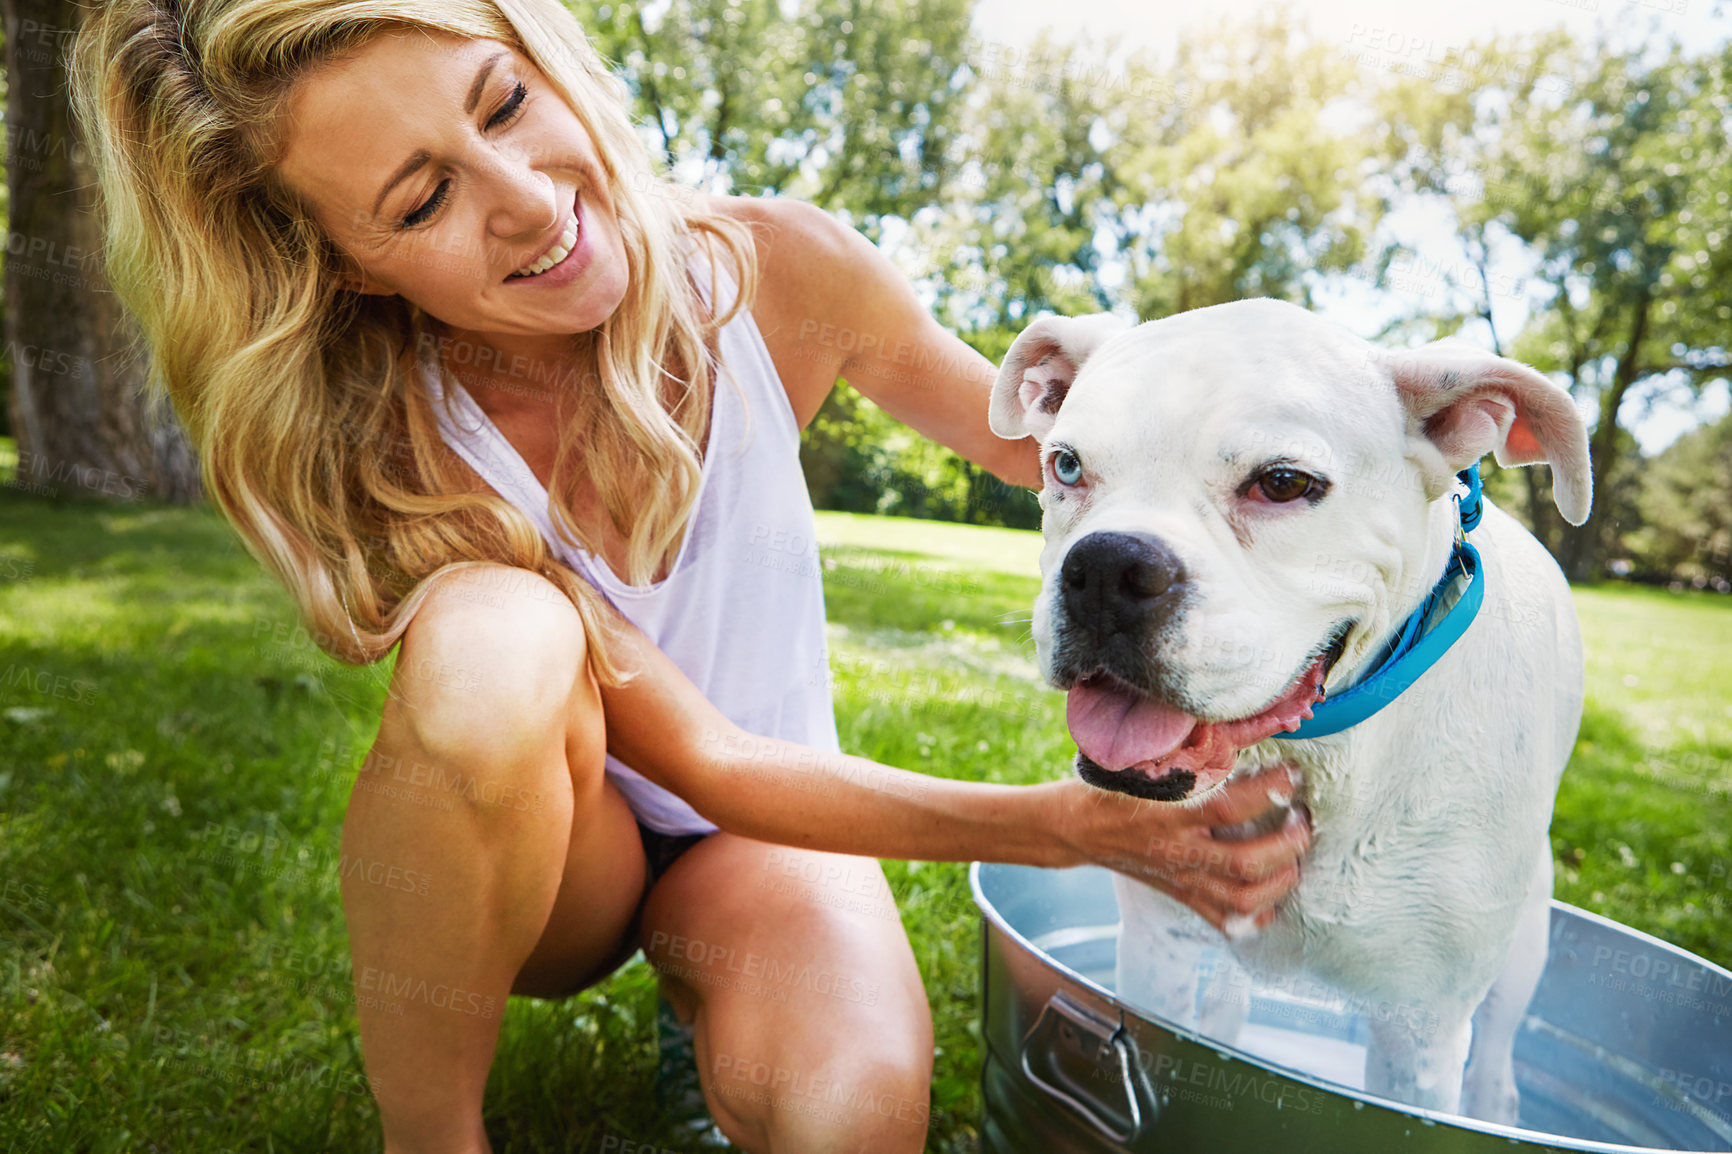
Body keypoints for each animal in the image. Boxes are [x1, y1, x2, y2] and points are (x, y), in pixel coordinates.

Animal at [997, 296, 1586, 1115]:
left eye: (1282, 483)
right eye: (1067, 465)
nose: (1108, 567)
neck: (1325, 758)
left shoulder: (1421, 1032)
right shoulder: (1155, 953)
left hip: (1527, 934)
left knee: (1498, 1050)